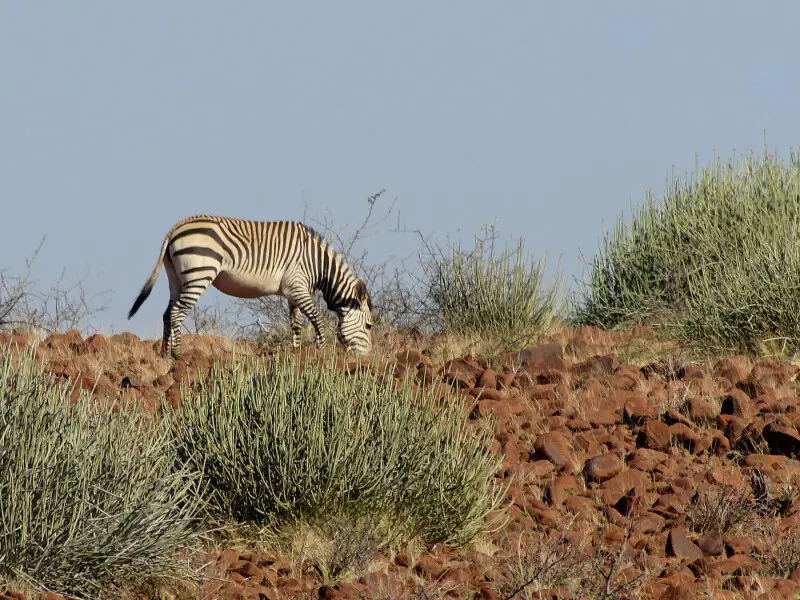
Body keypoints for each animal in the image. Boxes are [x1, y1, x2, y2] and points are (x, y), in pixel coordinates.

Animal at [127, 215, 374, 359]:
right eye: (369, 326)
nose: (367, 357)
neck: (318, 263)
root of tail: (176, 227)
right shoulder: (298, 287)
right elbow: (317, 319)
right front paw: (320, 351)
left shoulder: (292, 291)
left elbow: (296, 324)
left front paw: (296, 353)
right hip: (199, 274)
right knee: (177, 312)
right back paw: (178, 355)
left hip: (176, 277)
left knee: (167, 313)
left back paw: (164, 354)